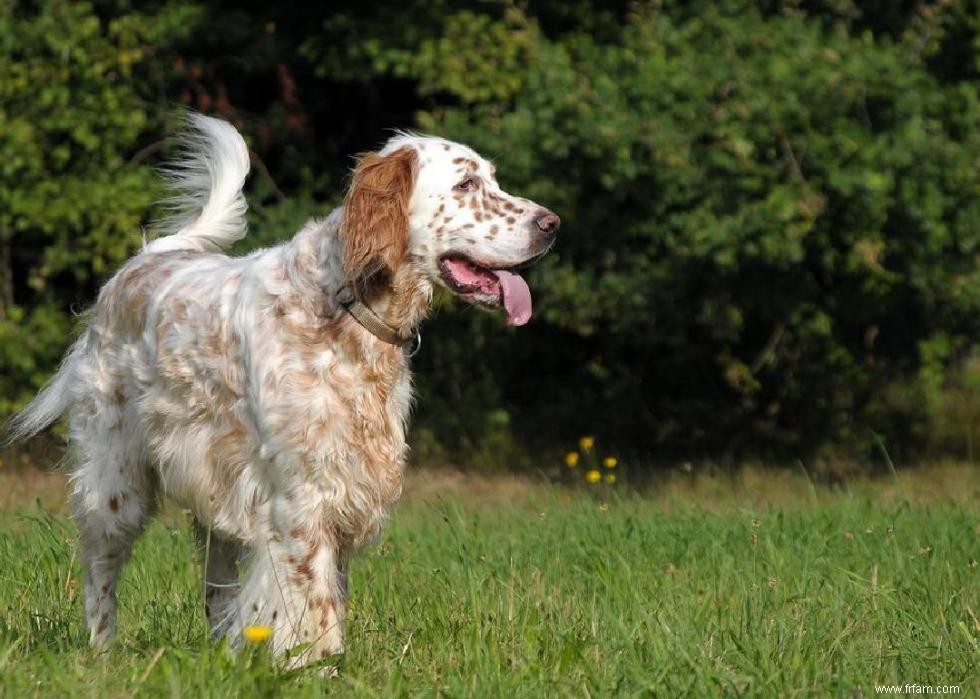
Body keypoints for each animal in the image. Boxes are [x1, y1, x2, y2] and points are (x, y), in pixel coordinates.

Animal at [5, 113, 560, 668]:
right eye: (466, 184)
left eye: (492, 179)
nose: (551, 224)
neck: (345, 309)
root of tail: (143, 260)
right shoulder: (300, 499)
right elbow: (312, 600)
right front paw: (316, 667)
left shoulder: (342, 490)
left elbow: (329, 594)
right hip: (114, 481)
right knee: (101, 573)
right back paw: (102, 653)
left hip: (216, 492)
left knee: (216, 588)